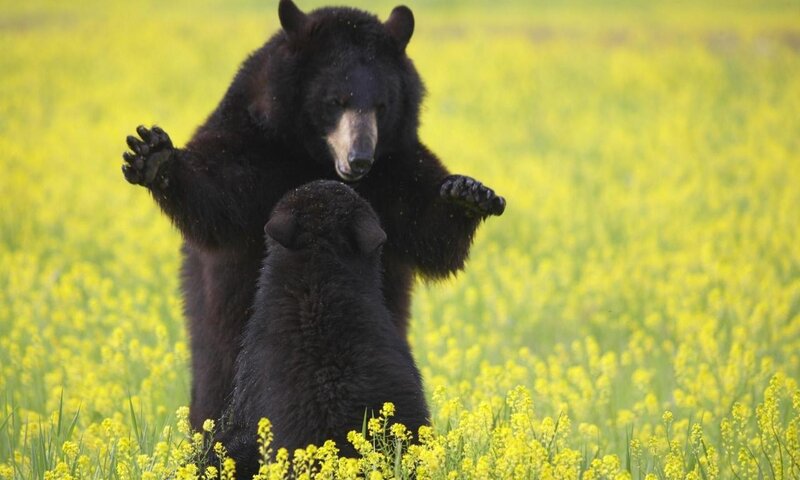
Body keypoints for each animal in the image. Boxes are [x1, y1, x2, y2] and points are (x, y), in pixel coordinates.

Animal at [122, 0, 505, 429]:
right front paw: (155, 157)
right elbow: (217, 191)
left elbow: (428, 227)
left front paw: (468, 194)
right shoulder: (254, 142)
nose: (359, 158)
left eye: (382, 105)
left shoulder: (395, 167)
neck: (313, 157)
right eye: (335, 101)